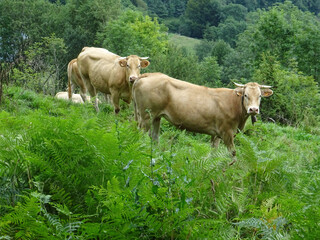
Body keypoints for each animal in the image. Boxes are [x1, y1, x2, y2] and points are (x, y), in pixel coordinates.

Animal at [132, 72, 272, 159]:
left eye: (260, 96)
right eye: (246, 95)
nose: (253, 109)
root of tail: (147, 75)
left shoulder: (216, 134)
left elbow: (214, 152)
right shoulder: (227, 132)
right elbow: (232, 153)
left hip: (156, 117)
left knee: (154, 137)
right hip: (145, 116)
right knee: (141, 135)